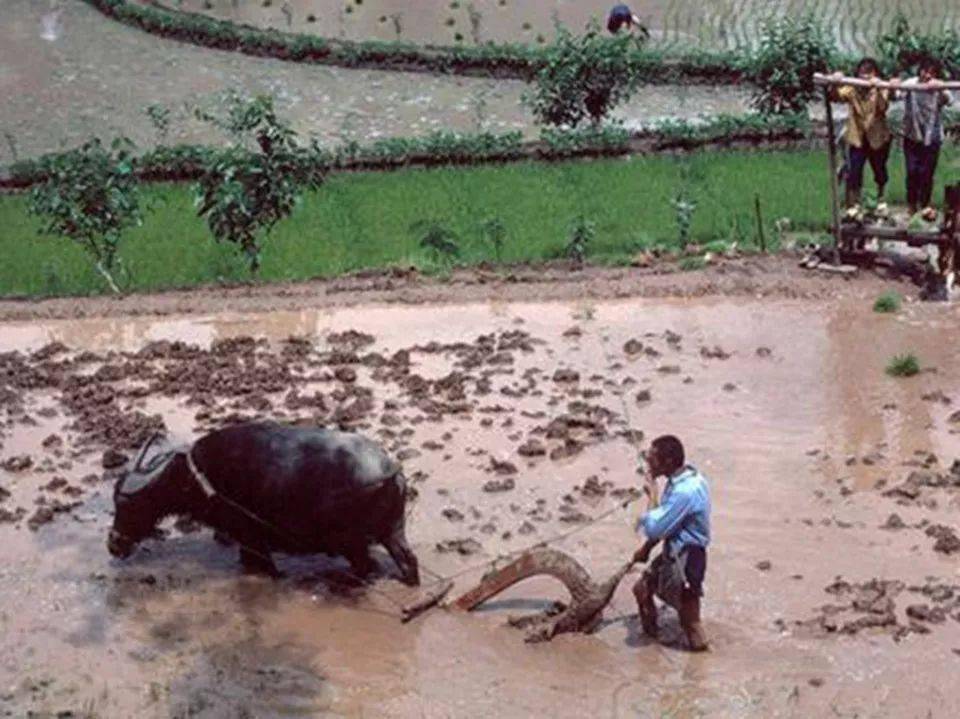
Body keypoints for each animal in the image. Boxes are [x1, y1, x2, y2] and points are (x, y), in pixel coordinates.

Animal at [107, 422, 418, 584]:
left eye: (130, 505)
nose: (113, 544)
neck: (199, 477)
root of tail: (389, 468)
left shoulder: (251, 539)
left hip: (350, 542)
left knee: (366, 566)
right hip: (393, 532)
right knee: (408, 561)